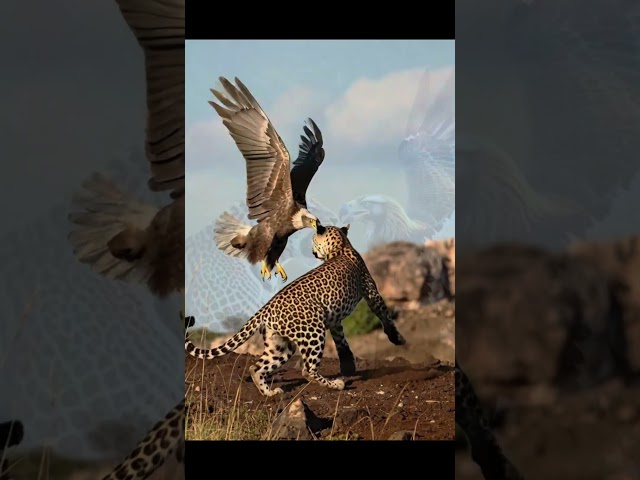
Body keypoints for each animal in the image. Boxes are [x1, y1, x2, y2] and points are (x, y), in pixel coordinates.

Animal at [185, 224, 407, 397]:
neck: (341, 246)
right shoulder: (372, 293)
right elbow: (385, 316)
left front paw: (348, 366)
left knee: (257, 367)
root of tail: (266, 308)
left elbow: (341, 341)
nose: (312, 251)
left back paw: (270, 393)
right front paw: (397, 338)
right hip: (313, 332)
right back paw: (335, 385)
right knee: (307, 370)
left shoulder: (335, 319)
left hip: (280, 345)